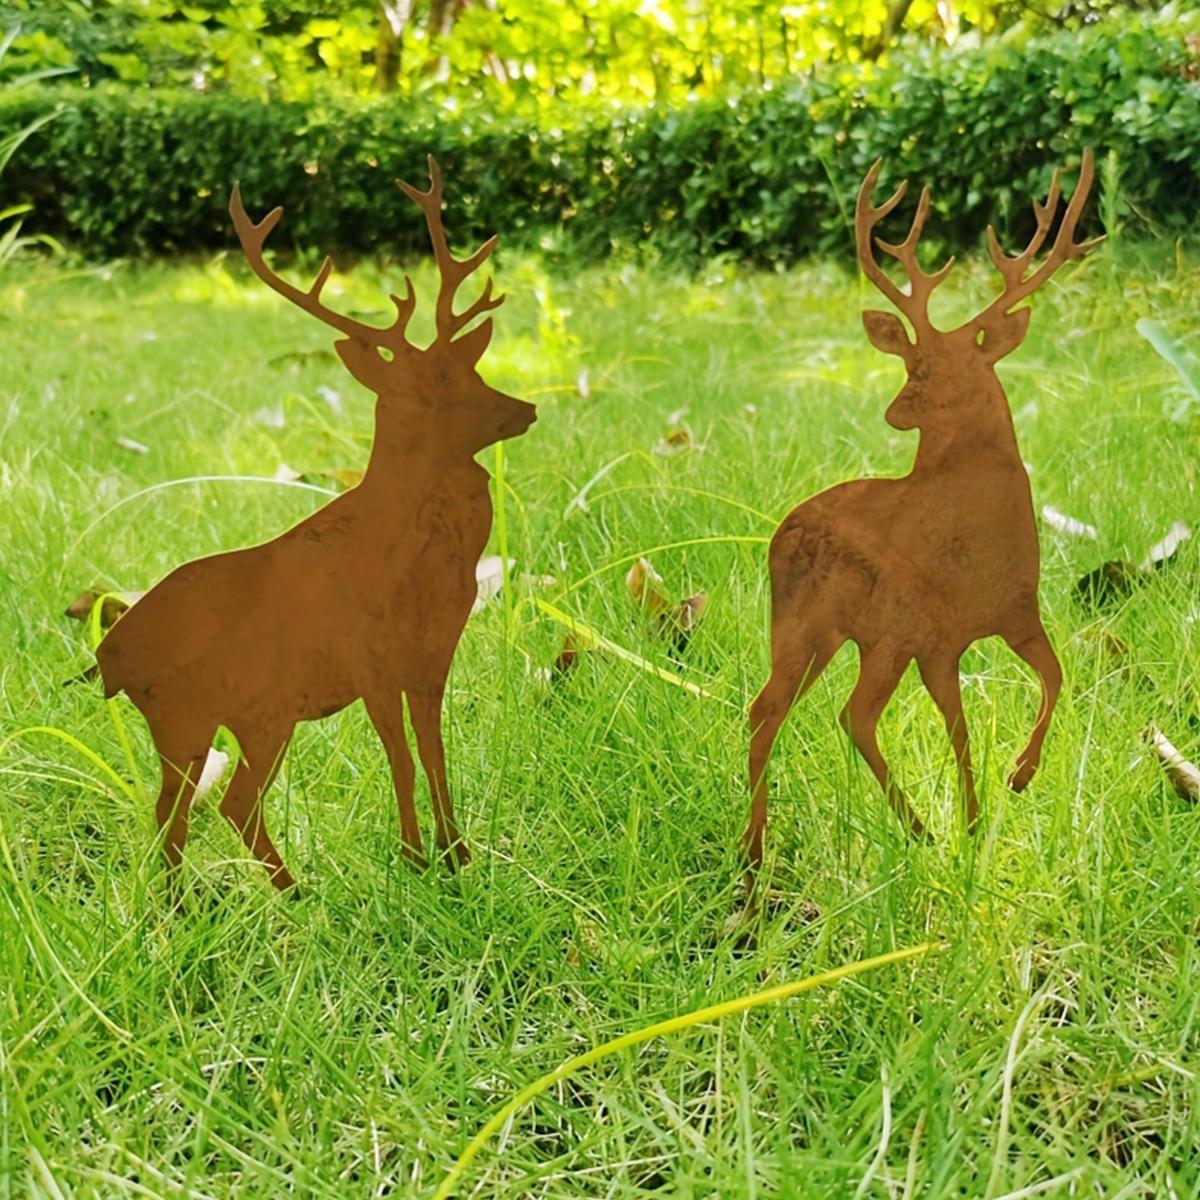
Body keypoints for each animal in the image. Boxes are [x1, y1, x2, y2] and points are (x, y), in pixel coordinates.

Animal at [95, 157, 536, 891]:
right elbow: (401, 757)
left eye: (469, 370)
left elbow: (435, 751)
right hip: (188, 713)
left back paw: (248, 896)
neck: (416, 570)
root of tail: (105, 660)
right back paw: (223, 899)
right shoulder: (370, 661)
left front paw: (457, 855)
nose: (525, 408)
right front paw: (415, 860)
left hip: (255, 716)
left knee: (217, 804)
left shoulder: (432, 657)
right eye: (439, 388)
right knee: (187, 808)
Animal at [743, 149, 1100, 882]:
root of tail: (780, 533)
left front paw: (1004, 790)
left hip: (840, 635)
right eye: (911, 362)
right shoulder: (930, 633)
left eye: (943, 368)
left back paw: (767, 850)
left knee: (791, 709)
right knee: (823, 712)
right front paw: (980, 811)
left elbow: (1051, 678)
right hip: (842, 626)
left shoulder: (1014, 614)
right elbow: (957, 724)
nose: (894, 411)